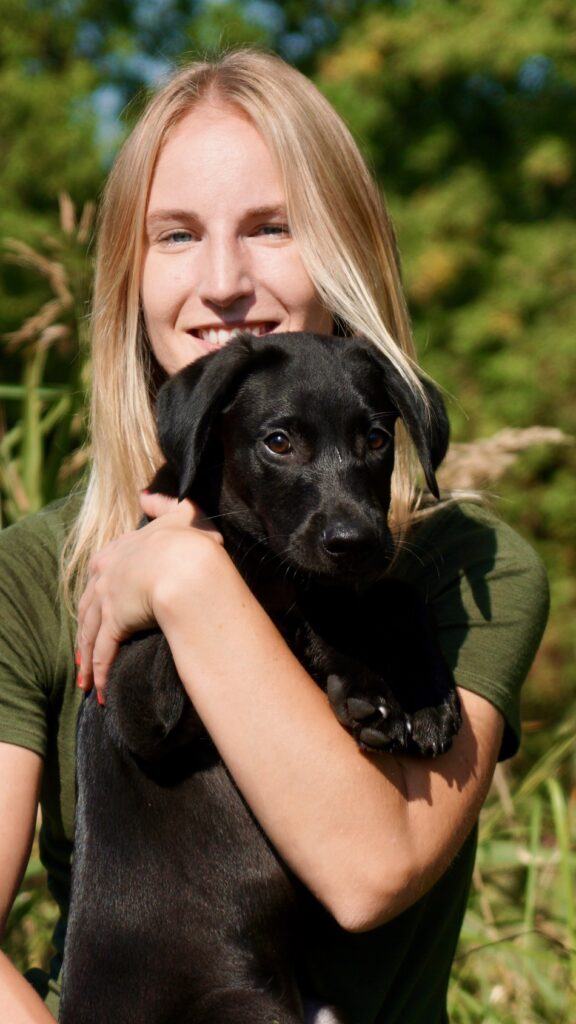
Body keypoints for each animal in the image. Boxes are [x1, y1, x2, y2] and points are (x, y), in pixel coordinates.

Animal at [60, 331, 459, 1019]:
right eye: (278, 441)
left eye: (376, 438)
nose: (353, 541)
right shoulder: (137, 693)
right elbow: (260, 585)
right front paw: (365, 686)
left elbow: (393, 594)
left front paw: (425, 697)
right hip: (240, 1005)